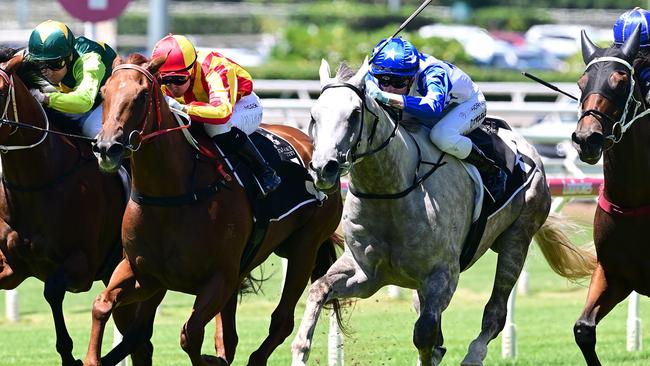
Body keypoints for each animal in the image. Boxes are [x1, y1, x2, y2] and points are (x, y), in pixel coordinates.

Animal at [85, 54, 344, 366]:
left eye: (142, 95)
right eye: (103, 93)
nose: (106, 148)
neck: (172, 196)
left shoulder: (219, 278)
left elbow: (190, 333)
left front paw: (210, 360)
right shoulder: (144, 274)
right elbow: (103, 306)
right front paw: (92, 358)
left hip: (304, 249)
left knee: (281, 321)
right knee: (226, 336)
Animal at [290, 58, 596, 364]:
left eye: (354, 114)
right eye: (313, 115)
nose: (323, 168)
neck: (390, 192)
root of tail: (527, 149)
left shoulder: (442, 275)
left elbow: (424, 333)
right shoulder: (364, 273)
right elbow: (318, 290)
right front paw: (300, 349)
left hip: (517, 239)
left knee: (495, 312)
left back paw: (473, 355)